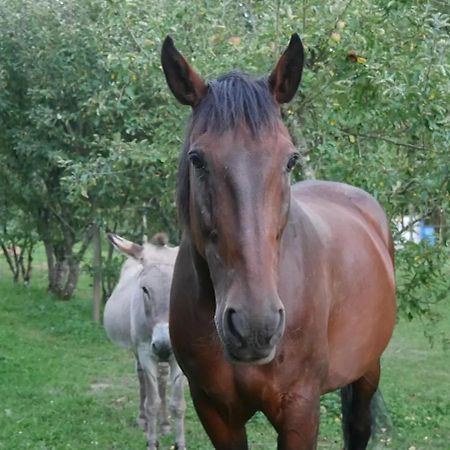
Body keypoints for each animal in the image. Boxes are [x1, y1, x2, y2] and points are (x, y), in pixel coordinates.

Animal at [161, 34, 394, 450]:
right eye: (197, 159)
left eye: (289, 160)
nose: (255, 325)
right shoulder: (215, 411)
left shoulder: (300, 407)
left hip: (368, 369)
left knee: (358, 427)